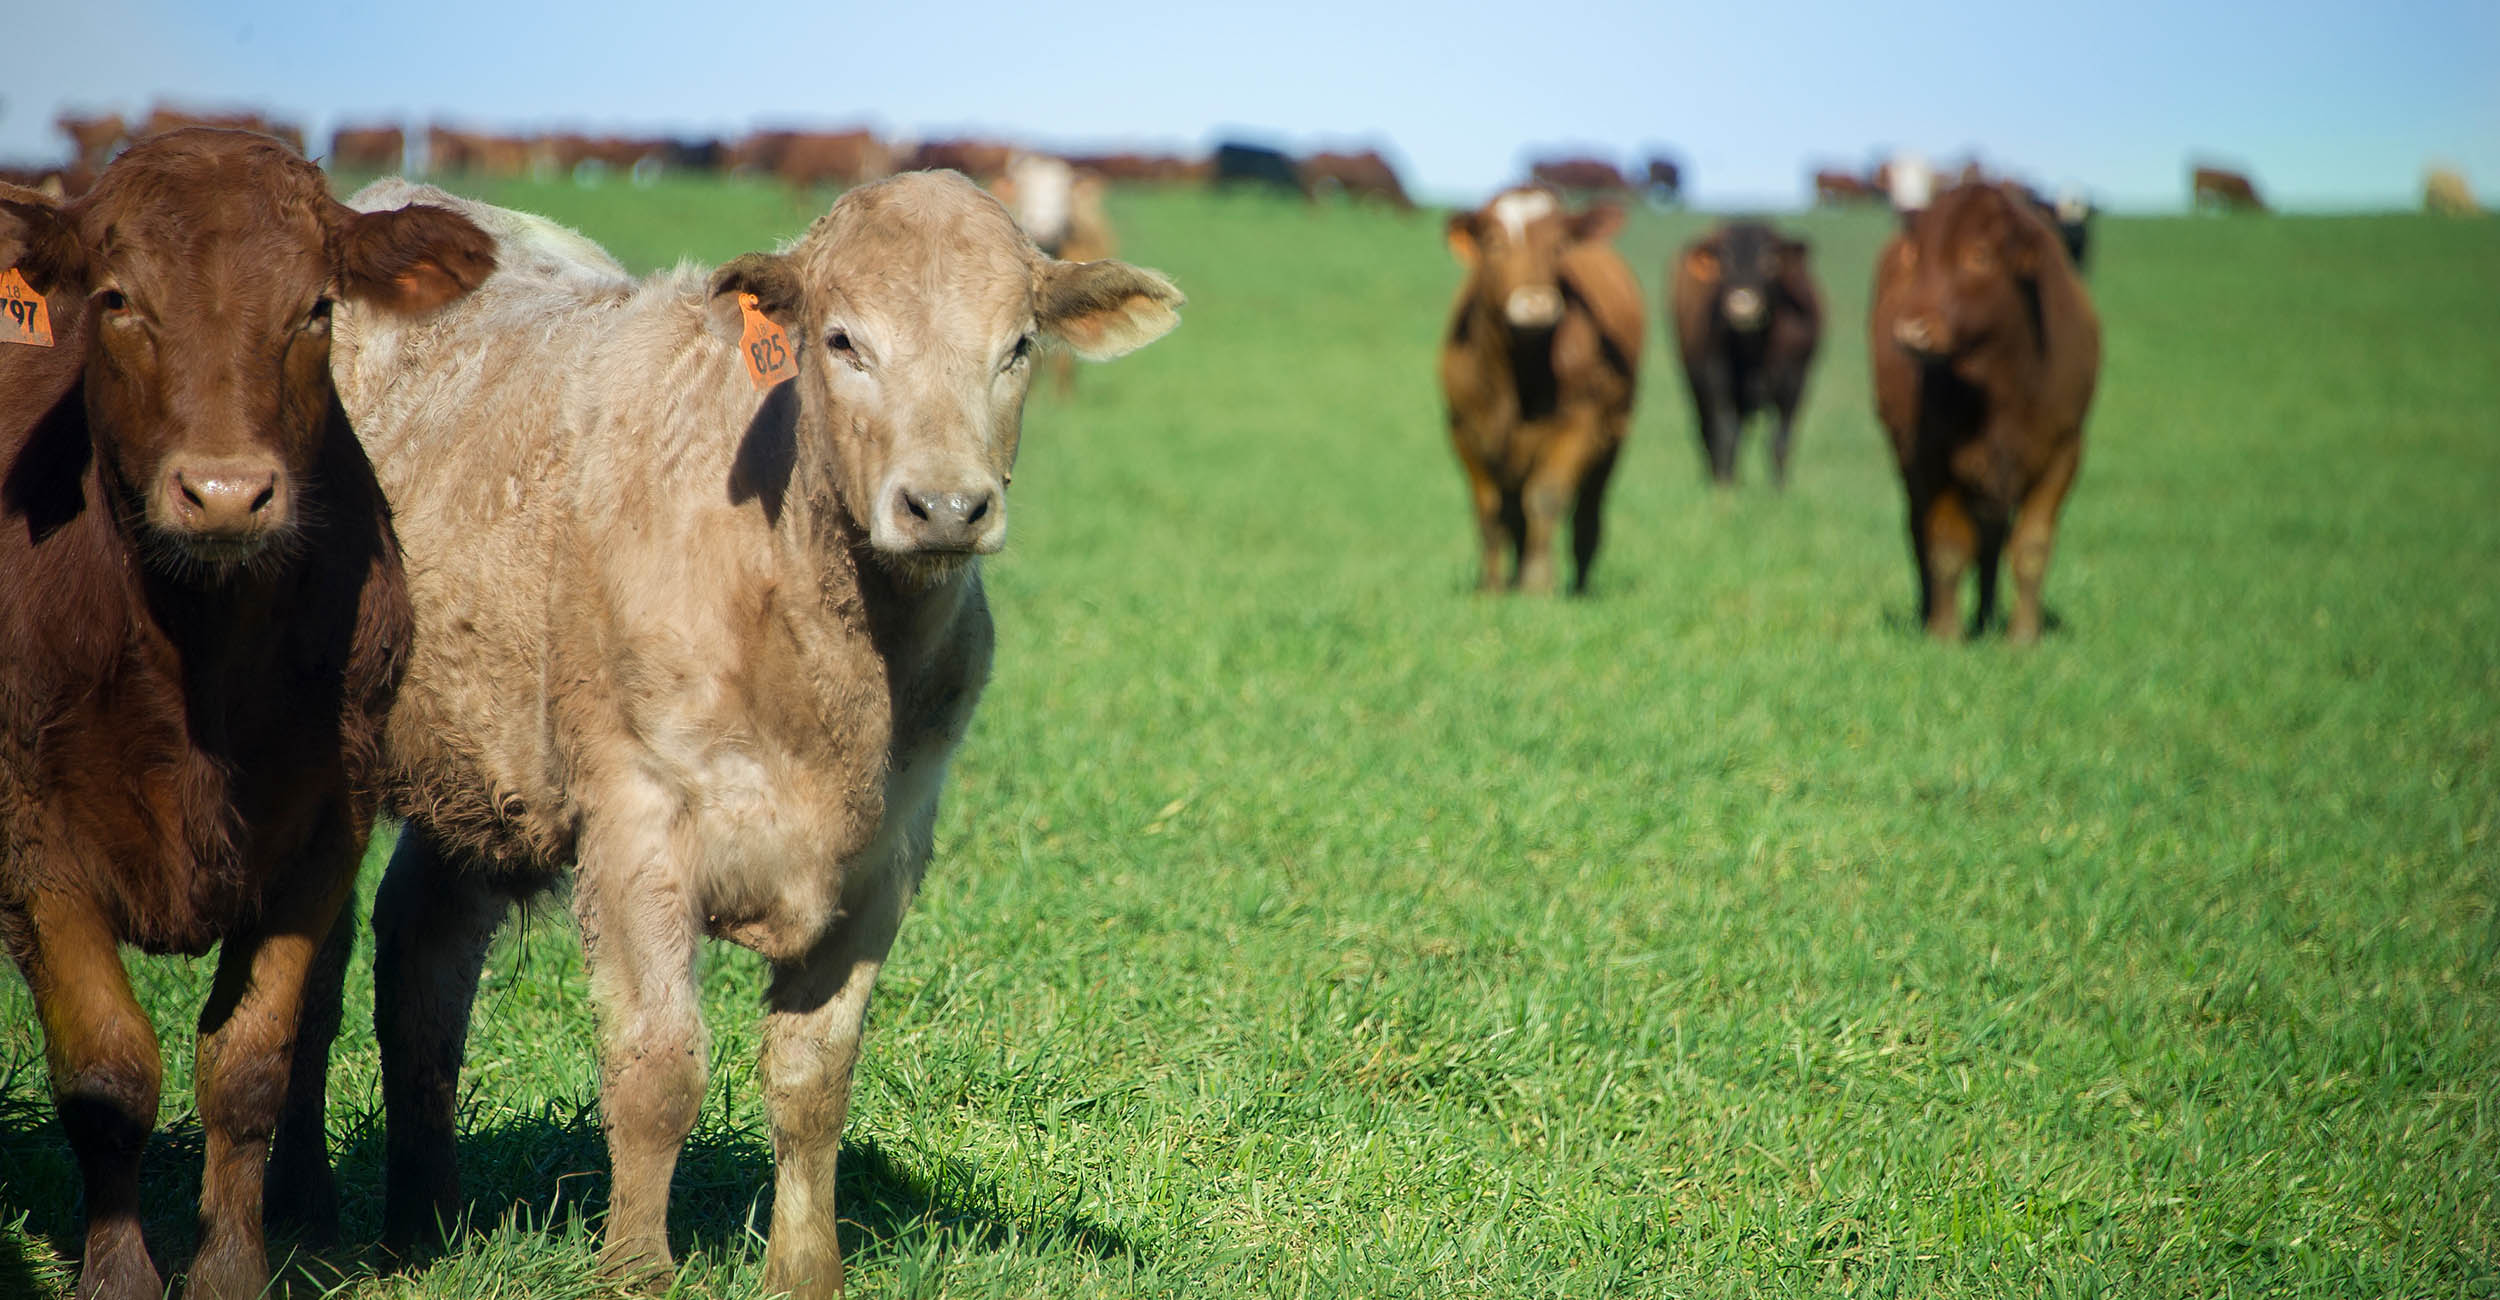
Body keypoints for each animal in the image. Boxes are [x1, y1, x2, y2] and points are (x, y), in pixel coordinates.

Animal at [0, 130, 492, 1300]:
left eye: (316, 307)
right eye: (118, 300)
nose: (225, 494)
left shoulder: (324, 826)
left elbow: (251, 1060)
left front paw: (230, 1266)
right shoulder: (32, 840)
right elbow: (107, 1069)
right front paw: (119, 1276)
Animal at [324, 171, 1183, 1299]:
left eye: (1018, 347)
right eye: (843, 341)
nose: (947, 505)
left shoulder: (885, 858)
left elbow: (812, 1080)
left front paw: (804, 1273)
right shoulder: (636, 823)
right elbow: (657, 1068)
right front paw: (635, 1270)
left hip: (475, 772)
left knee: (423, 958)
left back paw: (419, 1227)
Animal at [1439, 187, 1643, 594]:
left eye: (1559, 244)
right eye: (1494, 241)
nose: (1534, 304)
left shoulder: (1579, 424)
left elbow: (1546, 498)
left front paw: (1537, 586)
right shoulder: (1463, 430)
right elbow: (1489, 510)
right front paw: (1491, 588)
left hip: (1611, 439)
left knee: (1587, 515)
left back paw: (1578, 586)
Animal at [1670, 221, 1822, 488]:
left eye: (1769, 260)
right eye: (1725, 261)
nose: (1742, 305)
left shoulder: (1794, 383)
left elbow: (1780, 440)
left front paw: (1778, 490)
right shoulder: (1717, 379)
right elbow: (1726, 432)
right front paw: (1725, 487)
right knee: (1708, 431)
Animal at [1870, 182, 2101, 642]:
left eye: (1979, 255)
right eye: (1919, 257)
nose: (1912, 330)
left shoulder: (2064, 452)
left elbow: (2031, 546)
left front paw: (2023, 638)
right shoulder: (1931, 458)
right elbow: (1945, 547)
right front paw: (1944, 635)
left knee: (1992, 540)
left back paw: (1988, 618)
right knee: (1921, 532)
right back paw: (1935, 612)